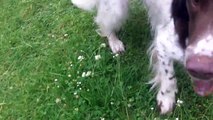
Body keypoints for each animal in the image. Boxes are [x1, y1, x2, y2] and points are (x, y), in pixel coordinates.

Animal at [71, 0, 213, 114]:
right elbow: (169, 78)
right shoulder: (163, 43)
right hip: (116, 9)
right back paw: (115, 43)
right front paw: (166, 100)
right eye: (195, 2)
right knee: (104, 24)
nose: (201, 69)